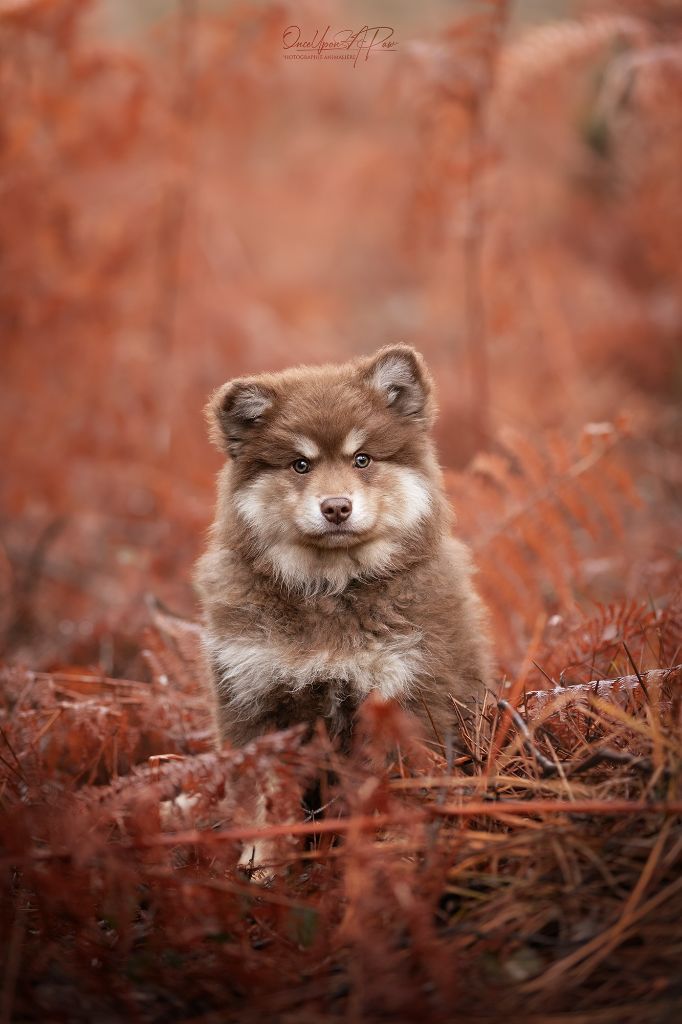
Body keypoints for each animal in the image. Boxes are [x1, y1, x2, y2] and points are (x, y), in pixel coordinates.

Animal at [193, 348, 491, 765]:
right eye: (301, 464)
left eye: (361, 459)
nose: (336, 507)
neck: (331, 587)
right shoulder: (252, 690)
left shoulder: (412, 686)